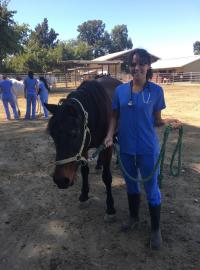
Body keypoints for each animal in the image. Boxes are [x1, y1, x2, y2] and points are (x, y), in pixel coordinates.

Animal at [45, 76, 122, 221]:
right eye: (52, 134)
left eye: (74, 132)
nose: (60, 180)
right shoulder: (84, 148)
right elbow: (85, 171)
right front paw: (84, 196)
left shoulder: (107, 145)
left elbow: (107, 177)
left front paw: (110, 208)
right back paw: (98, 165)